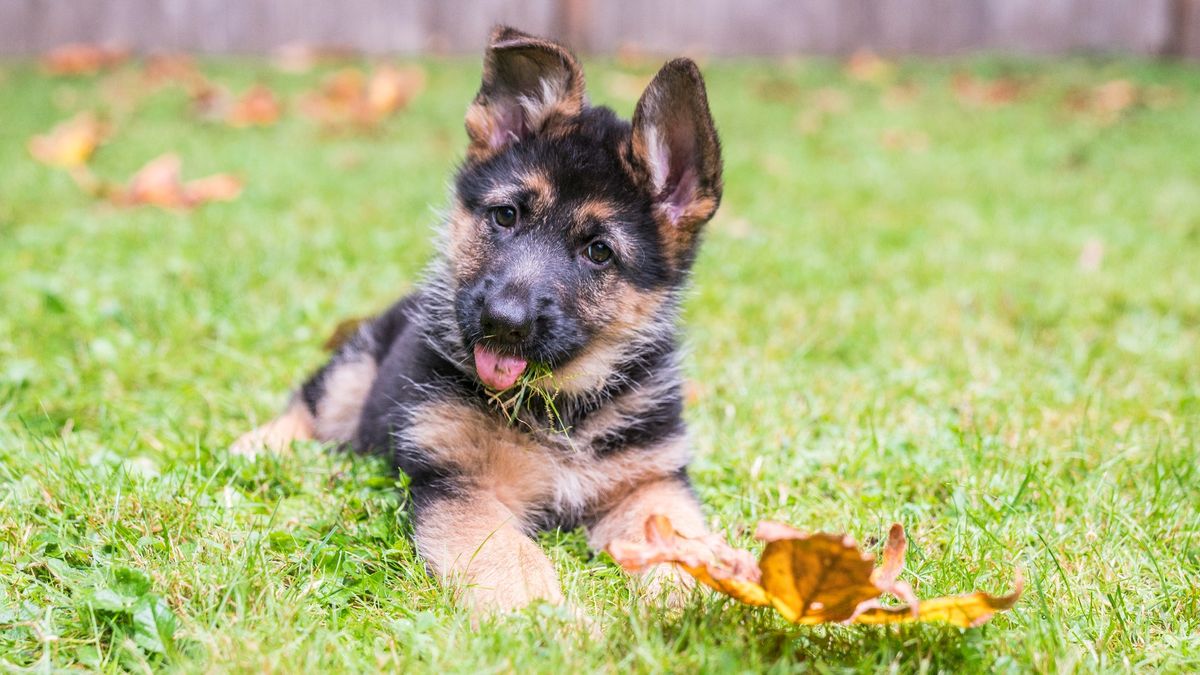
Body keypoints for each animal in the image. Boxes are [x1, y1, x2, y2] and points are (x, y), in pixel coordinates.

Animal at [234, 26, 720, 612]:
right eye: (506, 215)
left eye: (599, 252)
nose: (501, 322)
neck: (558, 408)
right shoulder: (459, 483)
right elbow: (510, 559)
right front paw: (550, 620)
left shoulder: (650, 482)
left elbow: (680, 540)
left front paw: (698, 599)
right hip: (355, 368)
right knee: (311, 405)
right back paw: (256, 446)